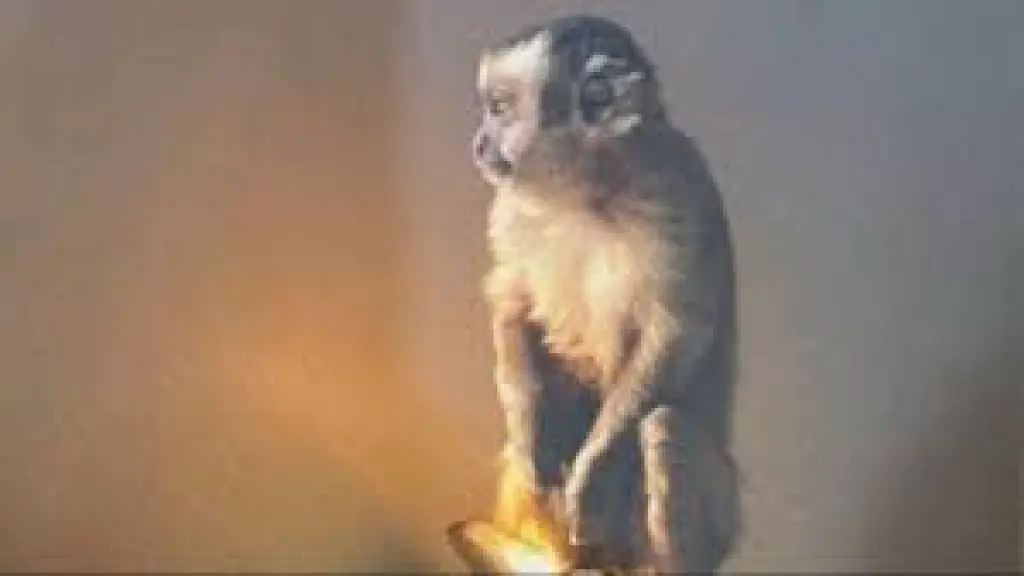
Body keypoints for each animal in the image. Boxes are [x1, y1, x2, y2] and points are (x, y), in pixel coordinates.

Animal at [471, 14, 740, 573]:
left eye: (499, 109)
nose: (479, 142)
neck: (590, 192)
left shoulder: (680, 183)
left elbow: (677, 330)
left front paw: (593, 474)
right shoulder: (508, 204)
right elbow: (510, 297)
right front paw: (527, 427)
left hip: (724, 518)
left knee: (663, 428)